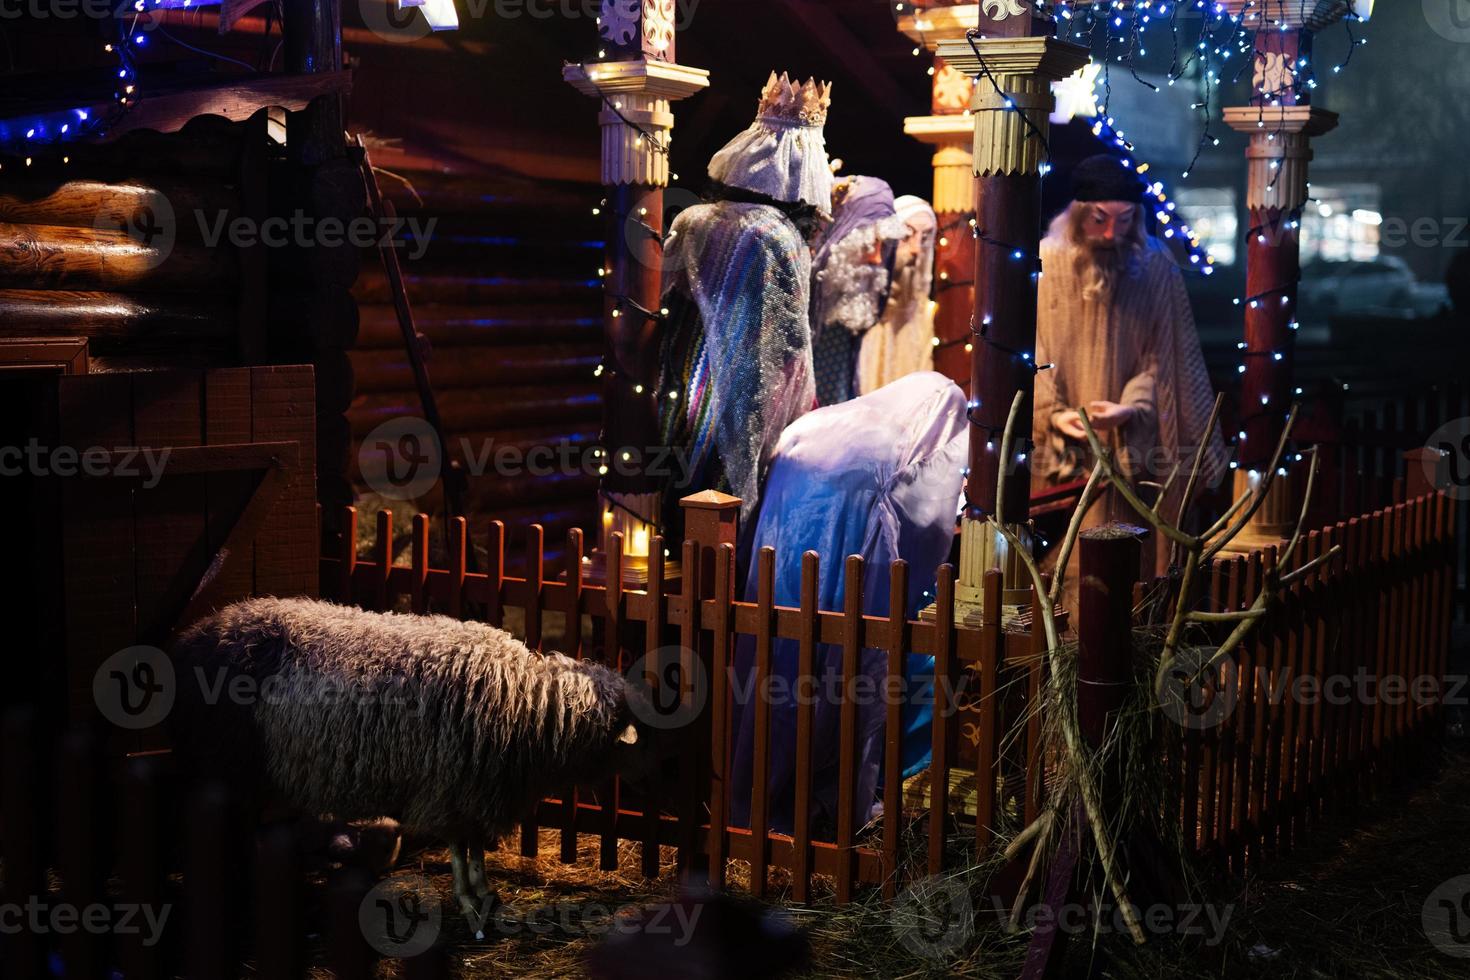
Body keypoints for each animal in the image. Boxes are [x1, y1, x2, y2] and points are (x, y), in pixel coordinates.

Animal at [171, 599, 655, 928]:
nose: (651, 784)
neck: (523, 706)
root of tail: (198, 631)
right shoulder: (451, 785)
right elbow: (460, 849)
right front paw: (469, 902)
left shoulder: (474, 789)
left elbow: (474, 848)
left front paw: (486, 893)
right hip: (227, 759)